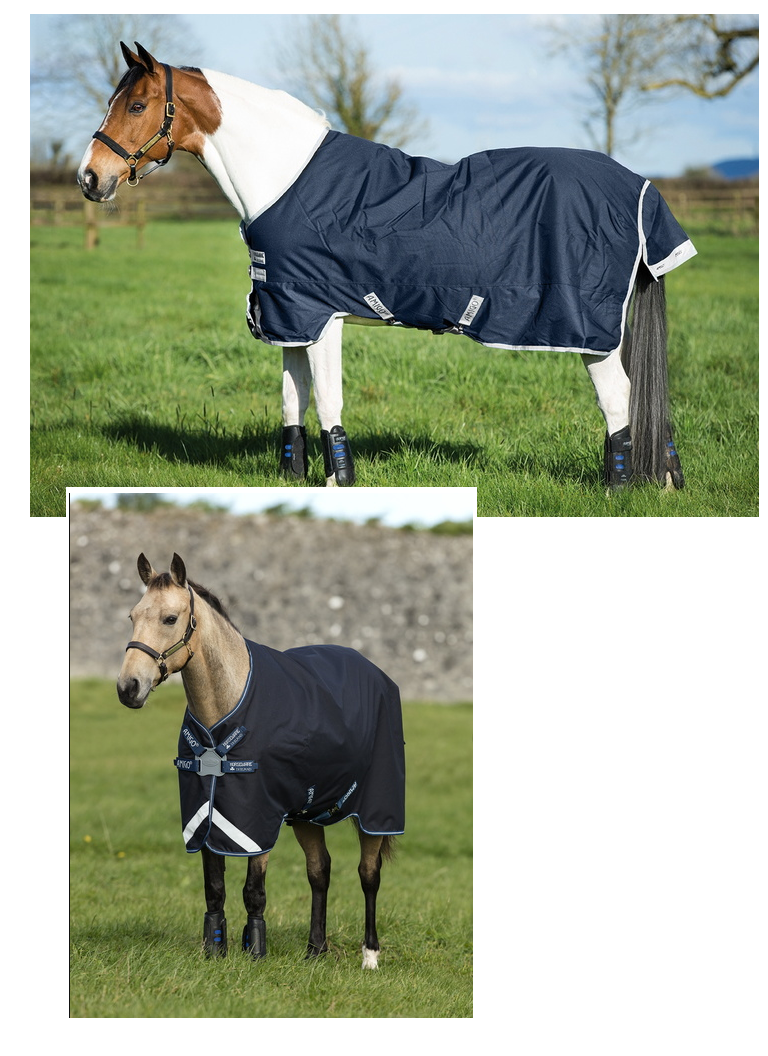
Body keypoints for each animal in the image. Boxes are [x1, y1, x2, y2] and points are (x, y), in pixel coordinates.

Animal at [78, 42, 696, 492]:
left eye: (136, 106)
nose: (90, 177)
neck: (285, 176)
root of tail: (640, 188)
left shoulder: (321, 316)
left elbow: (328, 401)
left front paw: (339, 483)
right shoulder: (290, 315)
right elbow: (293, 400)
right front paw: (294, 477)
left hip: (590, 330)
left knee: (619, 400)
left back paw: (617, 489)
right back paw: (664, 482)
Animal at [116, 552, 405, 969]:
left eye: (170, 618)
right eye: (132, 616)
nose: (128, 688)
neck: (225, 713)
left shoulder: (257, 818)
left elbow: (254, 889)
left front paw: (254, 951)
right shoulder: (205, 811)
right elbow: (214, 887)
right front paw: (214, 950)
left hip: (375, 811)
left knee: (369, 873)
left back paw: (369, 956)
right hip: (307, 814)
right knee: (320, 871)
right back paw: (315, 950)